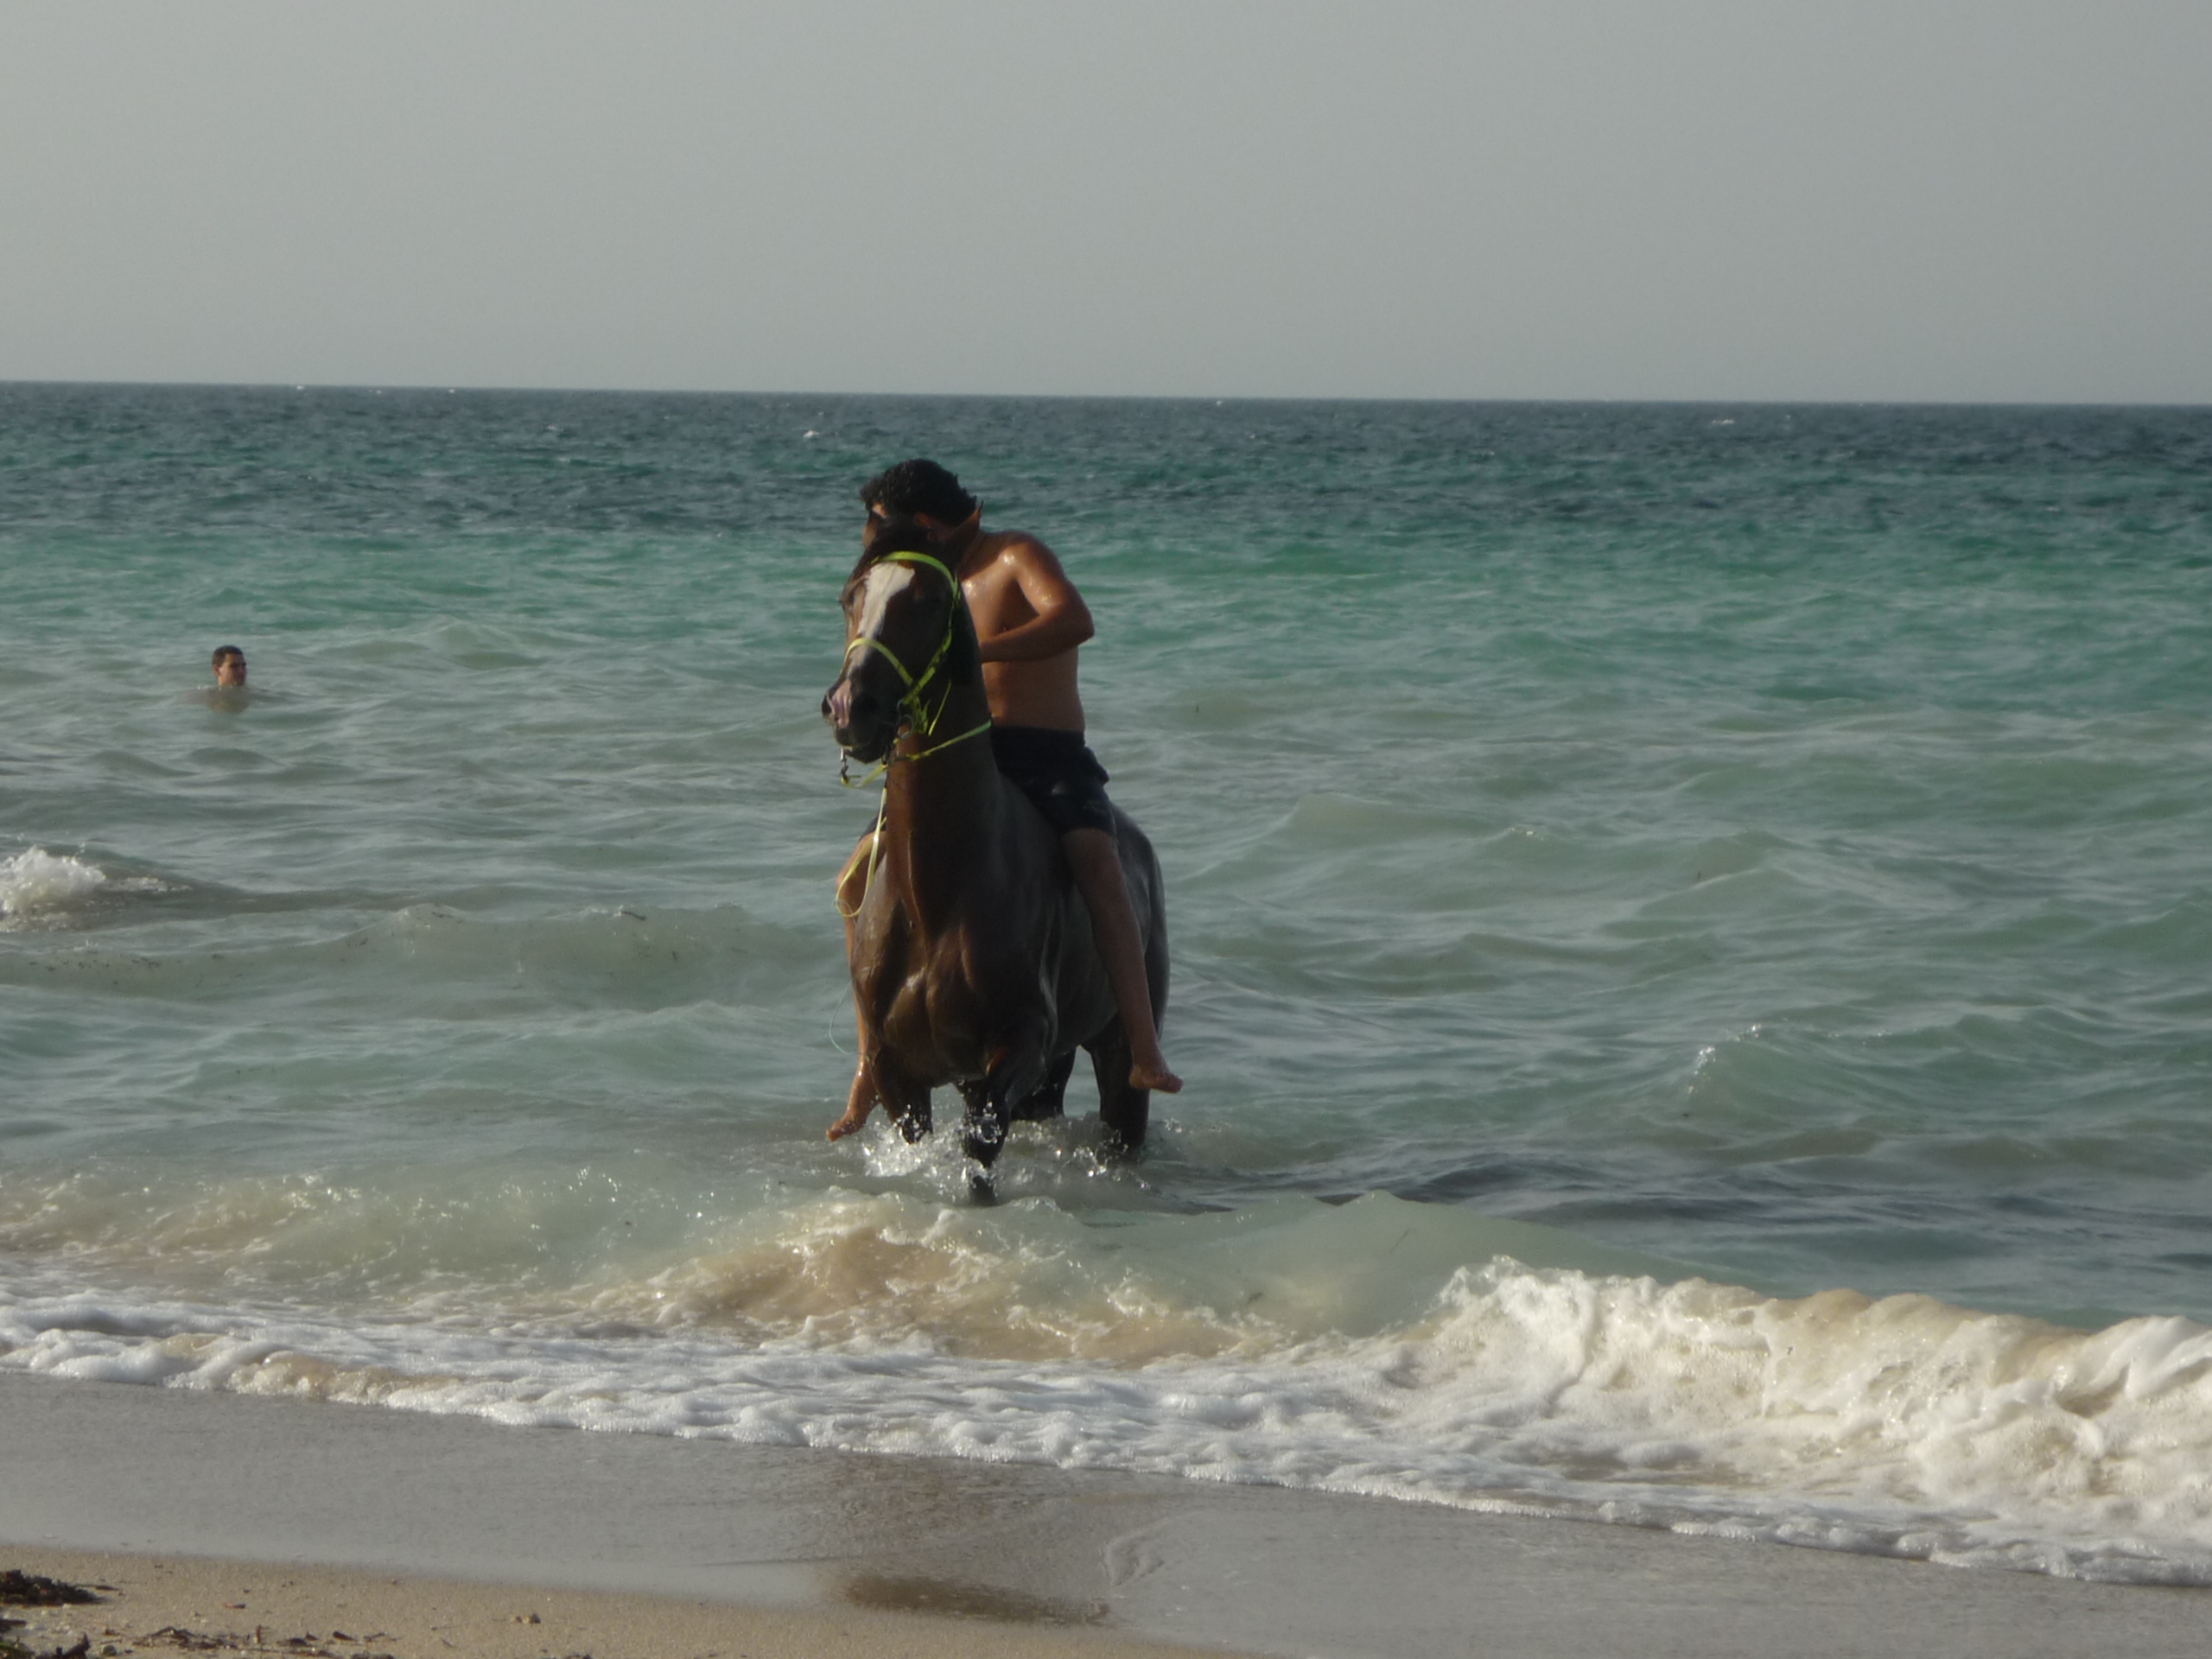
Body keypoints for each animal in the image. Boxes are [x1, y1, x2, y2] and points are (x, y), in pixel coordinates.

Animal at [820, 532, 1168, 1191]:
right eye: (851, 597)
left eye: (929, 602)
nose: (853, 707)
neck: (938, 892)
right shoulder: (895, 1067)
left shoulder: (1022, 1041)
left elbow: (978, 1148)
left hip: (1119, 1051)